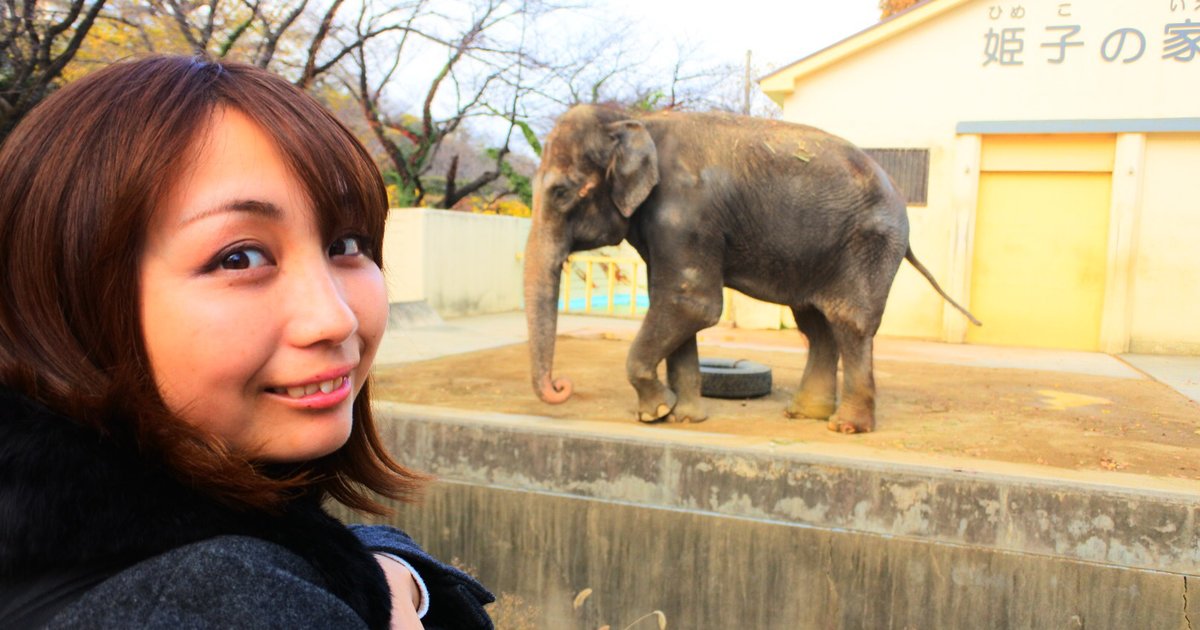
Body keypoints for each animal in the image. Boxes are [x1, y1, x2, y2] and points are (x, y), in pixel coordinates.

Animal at [523, 105, 974, 434]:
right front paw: (684, 418)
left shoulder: (686, 214)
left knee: (849, 322)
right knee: (815, 324)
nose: (561, 386)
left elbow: (692, 304)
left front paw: (655, 414)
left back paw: (845, 427)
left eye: (561, 192)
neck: (634, 119)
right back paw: (803, 414)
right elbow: (675, 305)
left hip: (870, 244)